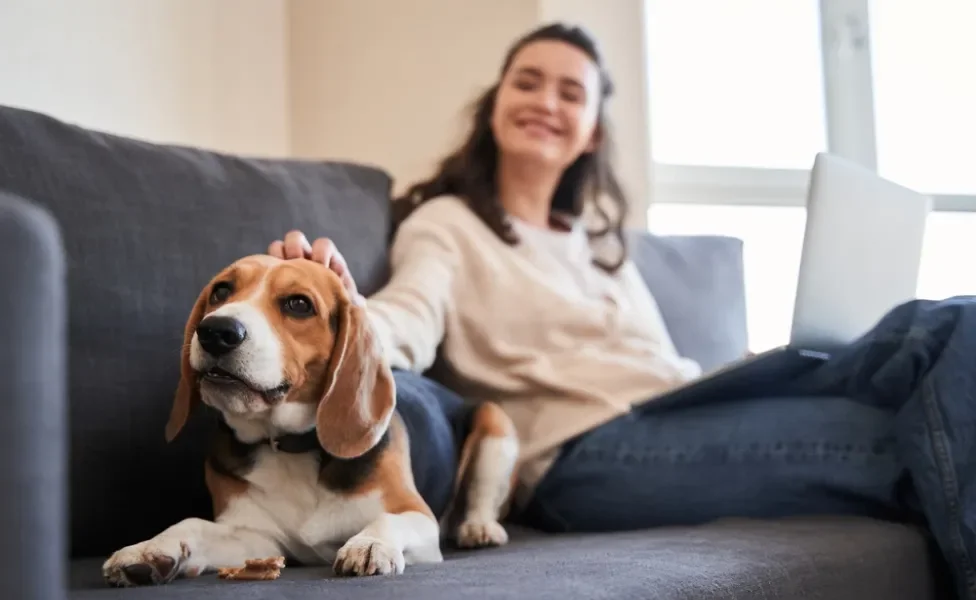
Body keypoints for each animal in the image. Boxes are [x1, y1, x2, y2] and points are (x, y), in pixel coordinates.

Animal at [101, 254, 520, 584]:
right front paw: (150, 549)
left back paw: (479, 527)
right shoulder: (260, 539)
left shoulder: (418, 517)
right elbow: (192, 525)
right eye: (221, 291)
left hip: (495, 425)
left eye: (298, 304)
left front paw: (370, 544)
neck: (288, 446)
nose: (216, 331)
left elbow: (389, 520)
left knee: (483, 493)